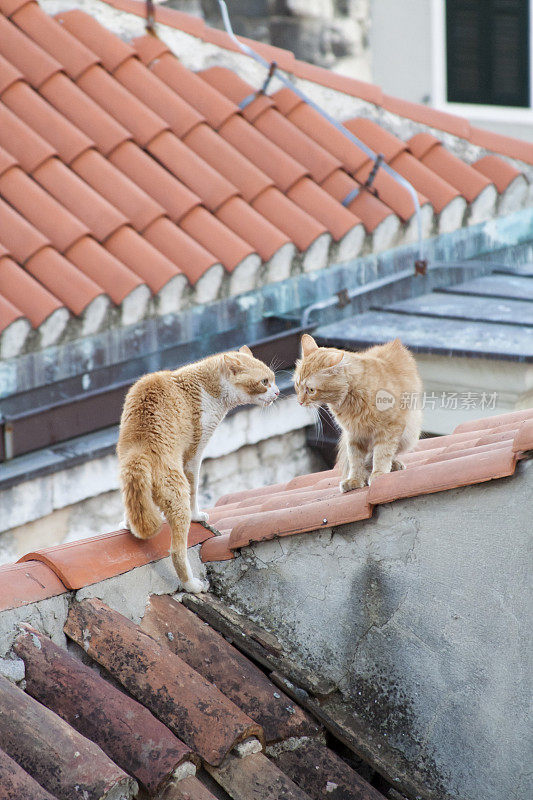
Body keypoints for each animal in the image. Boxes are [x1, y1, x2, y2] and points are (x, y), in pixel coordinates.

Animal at [117, 346, 278, 592]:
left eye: (274, 379)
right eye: (264, 382)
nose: (278, 392)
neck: (206, 386)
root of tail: (139, 450)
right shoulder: (193, 455)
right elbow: (195, 489)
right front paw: (198, 515)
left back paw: (128, 524)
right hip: (177, 494)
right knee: (177, 551)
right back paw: (191, 584)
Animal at [294, 334, 422, 490]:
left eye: (311, 390)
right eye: (297, 385)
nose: (300, 402)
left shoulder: (389, 428)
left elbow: (382, 453)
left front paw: (379, 474)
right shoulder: (354, 434)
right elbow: (355, 460)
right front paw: (355, 479)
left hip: (409, 435)